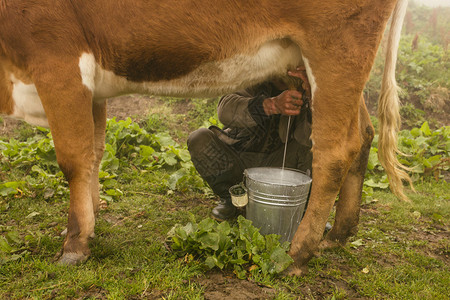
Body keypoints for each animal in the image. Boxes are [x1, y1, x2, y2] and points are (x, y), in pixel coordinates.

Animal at [0, 0, 412, 274]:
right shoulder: (92, 88)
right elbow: (95, 153)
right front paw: (92, 218)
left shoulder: (58, 61)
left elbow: (73, 159)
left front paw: (75, 243)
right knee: (364, 134)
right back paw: (339, 234)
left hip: (337, 49)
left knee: (335, 149)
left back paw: (297, 252)